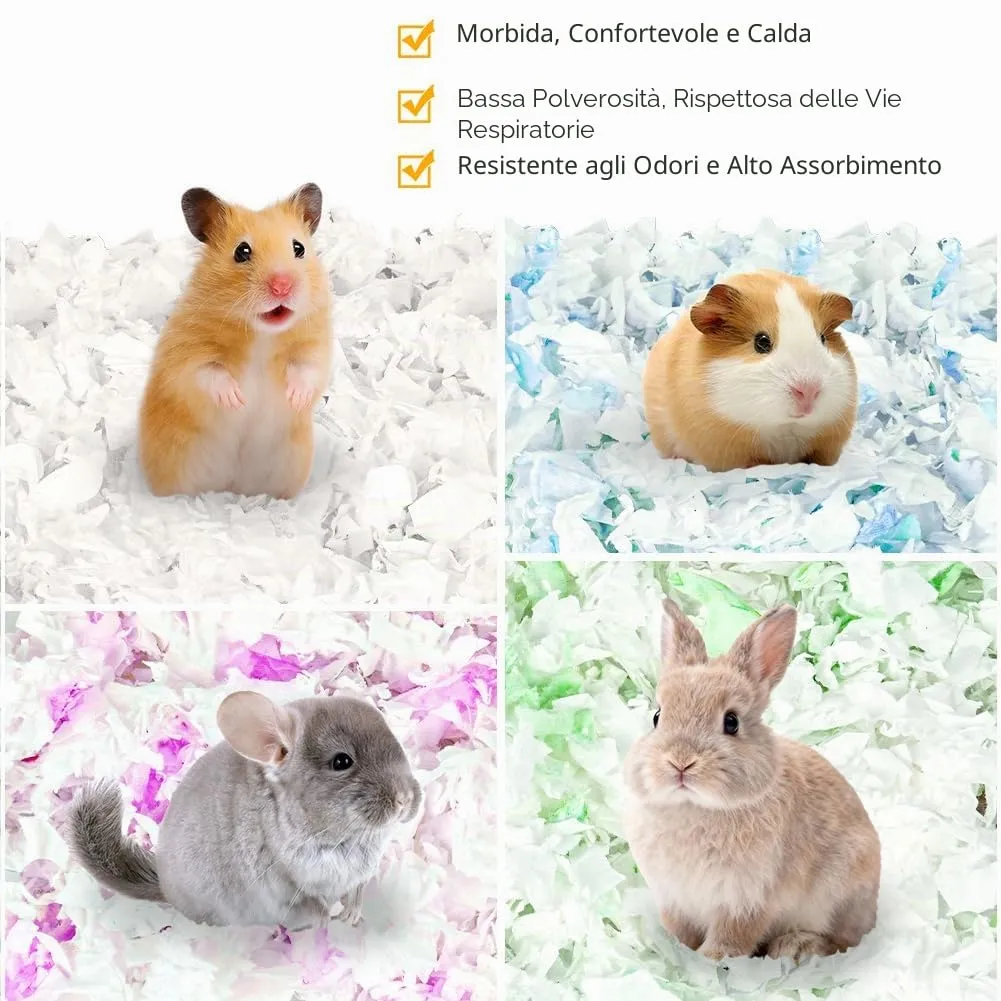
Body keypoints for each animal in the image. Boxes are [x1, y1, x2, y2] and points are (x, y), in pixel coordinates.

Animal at [68, 692, 421, 928]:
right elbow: (311, 902)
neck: (346, 839)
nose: (404, 799)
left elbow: (357, 891)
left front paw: (351, 914)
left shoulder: (359, 875)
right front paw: (330, 917)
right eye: (341, 761)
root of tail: (165, 888)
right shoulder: (283, 883)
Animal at [622, 598, 880, 963]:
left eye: (731, 722)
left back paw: (797, 946)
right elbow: (681, 930)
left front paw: (709, 960)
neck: (694, 808)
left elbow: (732, 938)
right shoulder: (675, 897)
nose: (680, 762)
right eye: (657, 717)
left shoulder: (746, 901)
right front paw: (681, 953)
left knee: (840, 941)